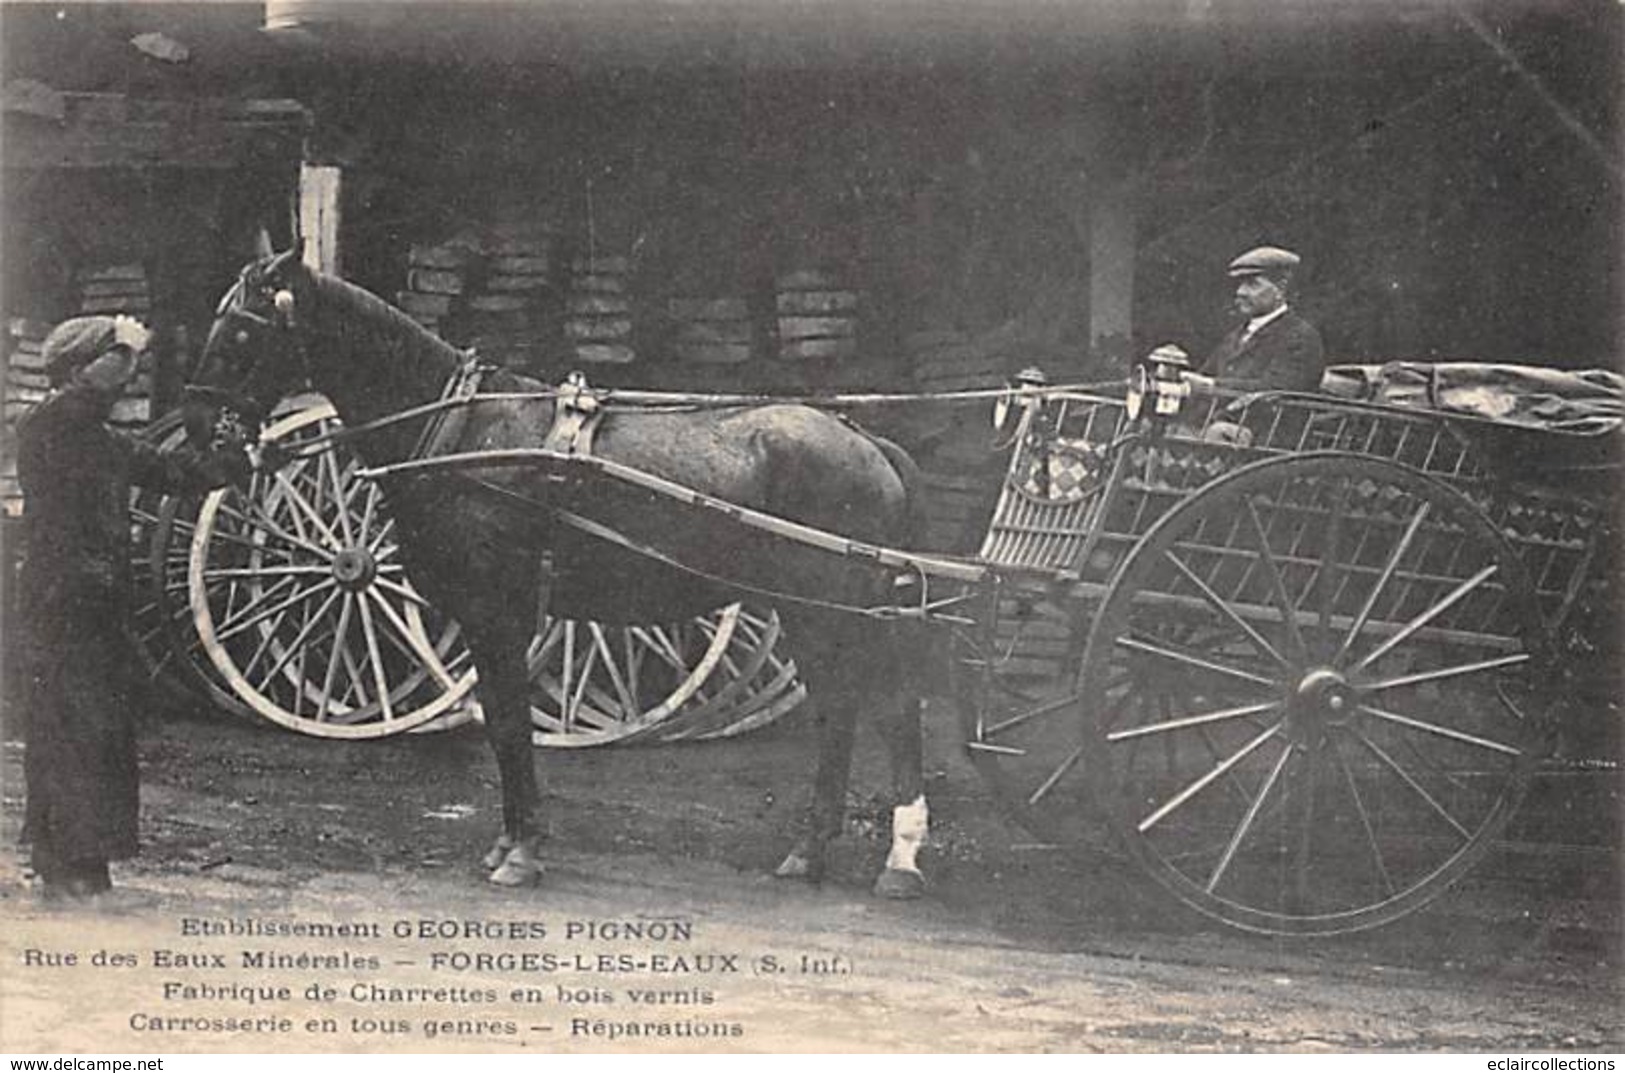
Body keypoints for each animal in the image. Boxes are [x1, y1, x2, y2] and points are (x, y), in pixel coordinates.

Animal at [195, 247, 936, 903]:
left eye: (244, 329)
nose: (206, 438)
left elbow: (511, 725)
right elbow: (500, 726)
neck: (462, 430)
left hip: (830, 606)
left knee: (891, 709)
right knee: (840, 709)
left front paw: (521, 852)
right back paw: (811, 851)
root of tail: (866, 443)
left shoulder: (497, 610)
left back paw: (897, 860)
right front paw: (509, 841)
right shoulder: (482, 618)